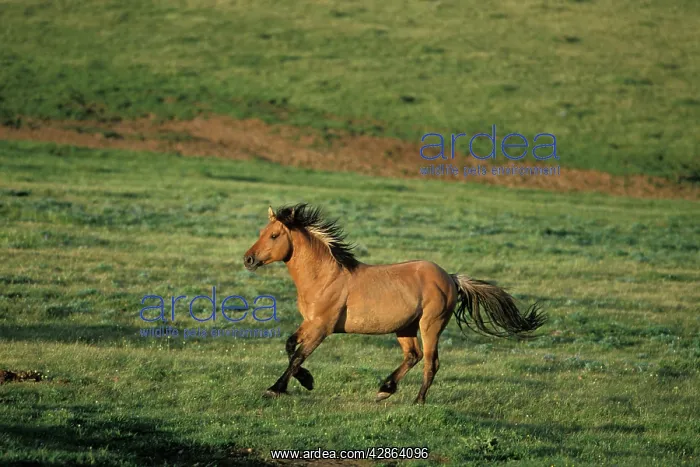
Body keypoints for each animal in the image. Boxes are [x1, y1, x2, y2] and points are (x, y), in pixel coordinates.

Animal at [243, 203, 546, 404]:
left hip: (430, 324)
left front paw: (277, 388)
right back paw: (385, 388)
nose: (248, 259)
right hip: (405, 327)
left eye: (274, 235)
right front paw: (306, 380)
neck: (325, 277)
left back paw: (418, 401)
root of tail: (449, 277)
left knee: (431, 362)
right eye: (261, 231)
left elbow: (298, 355)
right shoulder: (310, 322)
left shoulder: (322, 327)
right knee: (413, 355)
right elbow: (290, 346)